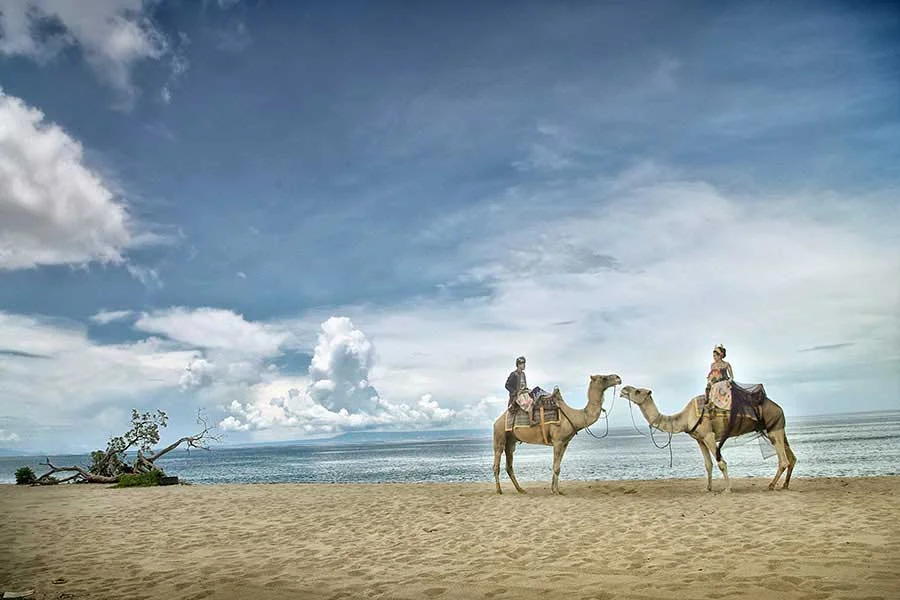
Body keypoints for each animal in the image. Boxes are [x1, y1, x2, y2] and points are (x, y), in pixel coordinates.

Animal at [492, 373, 621, 495]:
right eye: (603, 378)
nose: (618, 378)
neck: (574, 416)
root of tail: (497, 421)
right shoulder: (558, 441)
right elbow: (556, 467)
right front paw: (556, 491)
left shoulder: (565, 443)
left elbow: (557, 465)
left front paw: (555, 489)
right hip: (499, 434)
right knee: (497, 463)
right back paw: (499, 490)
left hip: (511, 440)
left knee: (509, 466)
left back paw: (520, 489)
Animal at [619, 385, 797, 493]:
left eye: (637, 391)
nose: (623, 389)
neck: (685, 417)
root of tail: (779, 408)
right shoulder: (699, 439)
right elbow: (708, 465)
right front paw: (707, 488)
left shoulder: (709, 435)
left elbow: (721, 463)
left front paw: (727, 489)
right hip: (777, 429)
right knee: (792, 458)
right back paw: (785, 485)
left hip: (774, 429)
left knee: (783, 460)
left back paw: (771, 485)